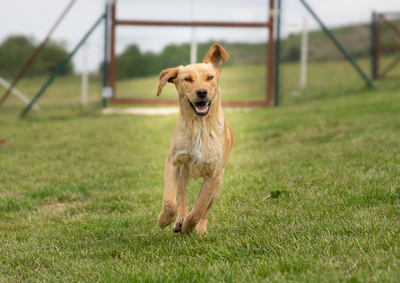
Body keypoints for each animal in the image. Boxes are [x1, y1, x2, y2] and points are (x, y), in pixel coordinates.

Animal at [155, 43, 233, 235]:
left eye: (210, 77)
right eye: (188, 79)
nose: (202, 92)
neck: (199, 128)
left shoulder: (213, 177)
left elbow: (199, 209)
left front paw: (189, 227)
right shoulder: (173, 162)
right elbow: (170, 202)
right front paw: (164, 220)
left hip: (217, 187)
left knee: (205, 210)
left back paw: (199, 229)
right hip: (182, 175)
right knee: (183, 200)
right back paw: (179, 220)